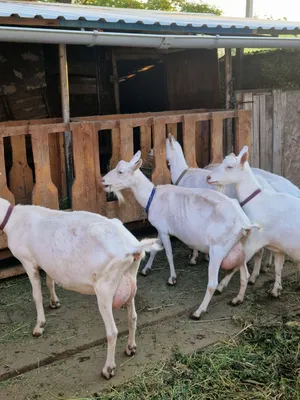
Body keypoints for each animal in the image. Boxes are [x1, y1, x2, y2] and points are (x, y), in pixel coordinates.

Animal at [0, 198, 159, 380]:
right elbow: (49, 281)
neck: (13, 218)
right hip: (130, 278)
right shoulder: (47, 263)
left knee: (112, 331)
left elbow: (36, 294)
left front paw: (39, 326)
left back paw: (108, 369)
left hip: (105, 287)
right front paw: (54, 302)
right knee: (132, 317)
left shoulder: (28, 260)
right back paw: (131, 348)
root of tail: (133, 246)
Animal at [101, 152, 260, 320]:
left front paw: (172, 278)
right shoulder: (160, 228)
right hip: (239, 246)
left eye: (120, 172)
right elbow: (154, 250)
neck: (153, 197)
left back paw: (198, 311)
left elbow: (168, 254)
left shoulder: (164, 230)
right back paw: (238, 299)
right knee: (245, 274)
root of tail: (243, 223)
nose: (103, 180)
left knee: (213, 283)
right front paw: (146, 269)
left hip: (218, 249)